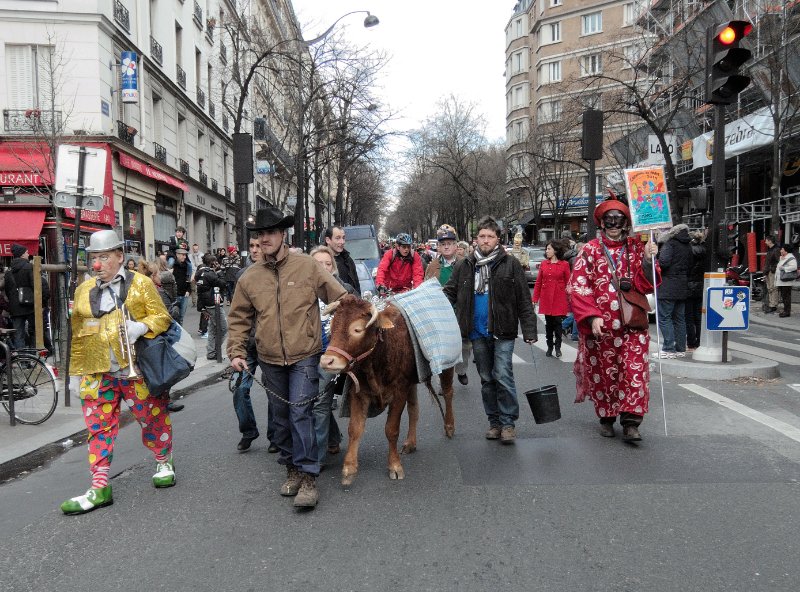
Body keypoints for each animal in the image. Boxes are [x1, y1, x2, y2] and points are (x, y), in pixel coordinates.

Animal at [320, 294, 456, 486]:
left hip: (447, 366)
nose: (327, 361)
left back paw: (449, 426)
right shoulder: (359, 393)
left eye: (357, 329)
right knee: (414, 408)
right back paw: (410, 442)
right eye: (331, 327)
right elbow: (355, 429)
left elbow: (391, 429)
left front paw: (395, 466)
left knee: (448, 392)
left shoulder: (399, 392)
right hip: (412, 381)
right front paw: (349, 468)